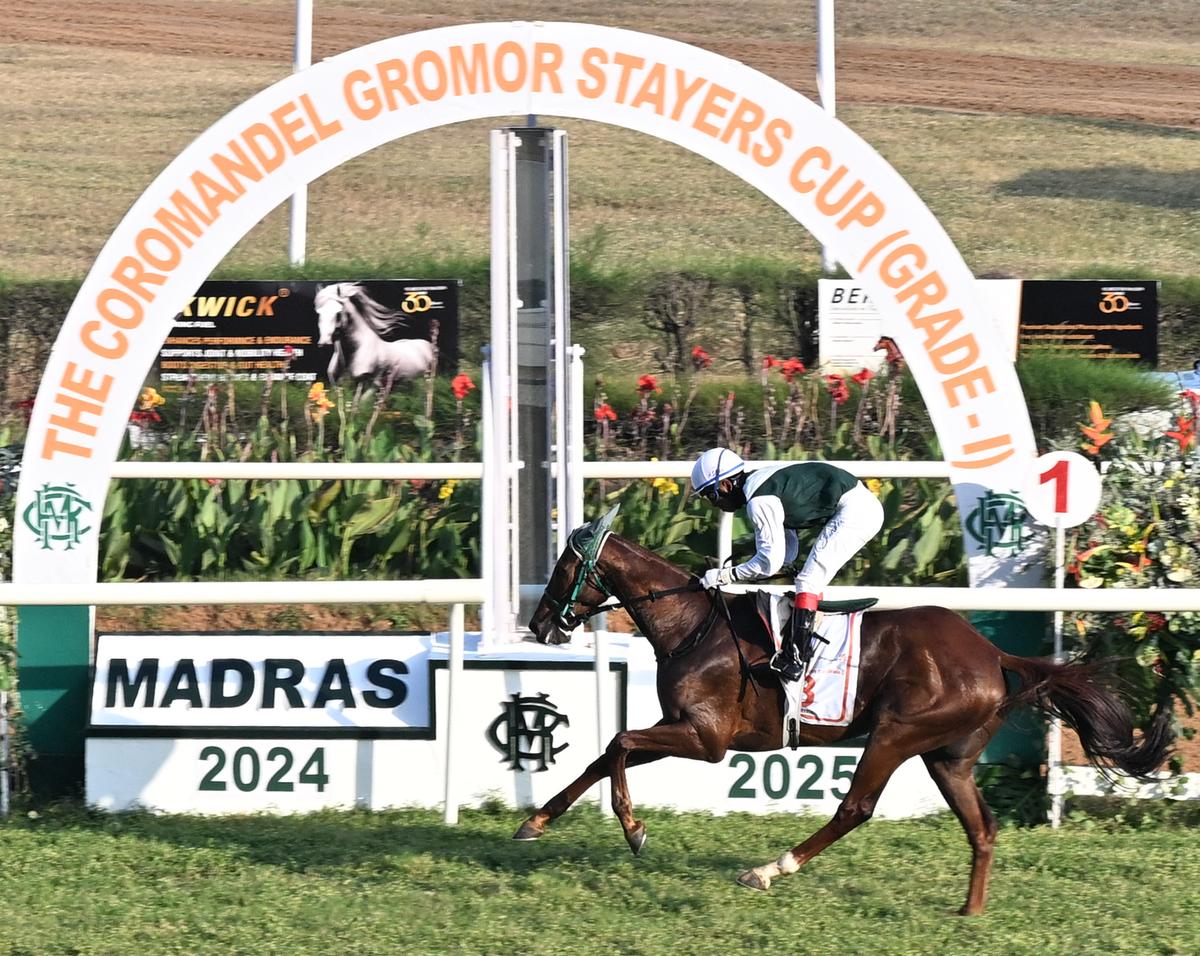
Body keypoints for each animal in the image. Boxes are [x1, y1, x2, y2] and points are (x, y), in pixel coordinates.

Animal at [516, 518, 1171, 911]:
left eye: (564, 568)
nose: (540, 624)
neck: (693, 626)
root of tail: (991, 653)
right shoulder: (686, 729)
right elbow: (606, 752)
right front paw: (537, 821)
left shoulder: (706, 737)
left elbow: (621, 743)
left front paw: (633, 830)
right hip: (948, 758)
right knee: (982, 827)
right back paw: (971, 910)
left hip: (895, 733)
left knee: (855, 807)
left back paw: (768, 869)